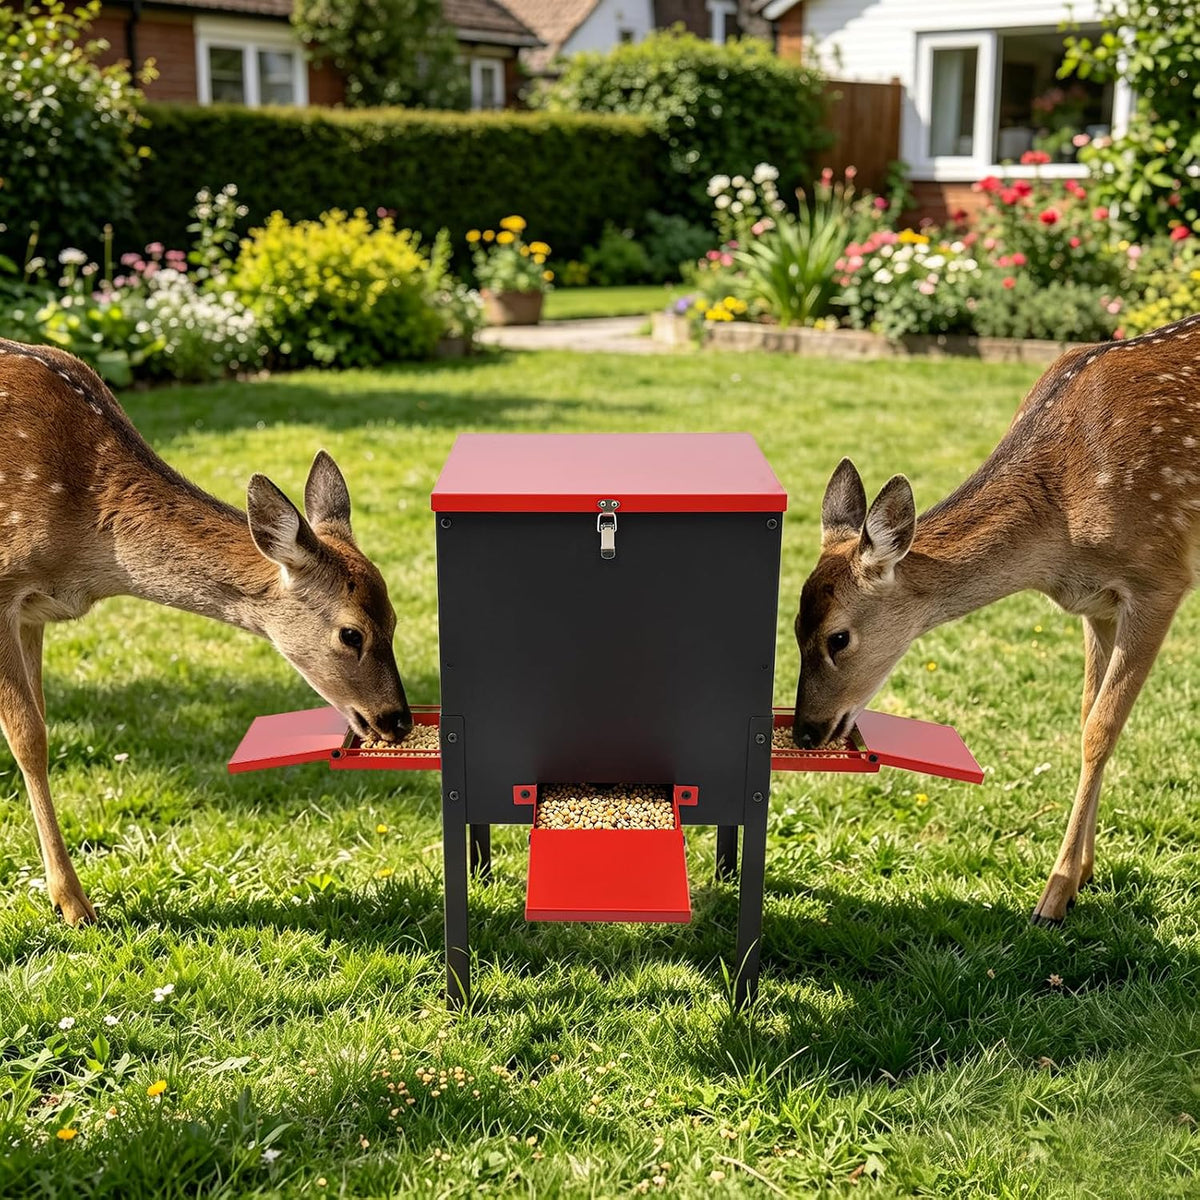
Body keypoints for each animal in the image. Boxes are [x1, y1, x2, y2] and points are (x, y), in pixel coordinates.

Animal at [0, 337, 413, 925]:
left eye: (396, 619)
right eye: (351, 634)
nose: (397, 720)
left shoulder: (33, 612)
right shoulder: (4, 587)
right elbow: (29, 737)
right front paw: (75, 904)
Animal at [792, 313, 1200, 926]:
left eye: (838, 637)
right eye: (794, 629)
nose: (804, 731)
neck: (1061, 526)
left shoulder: (1159, 579)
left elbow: (1101, 731)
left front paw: (1053, 897)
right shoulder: (1097, 606)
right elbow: (1087, 716)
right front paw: (1083, 874)